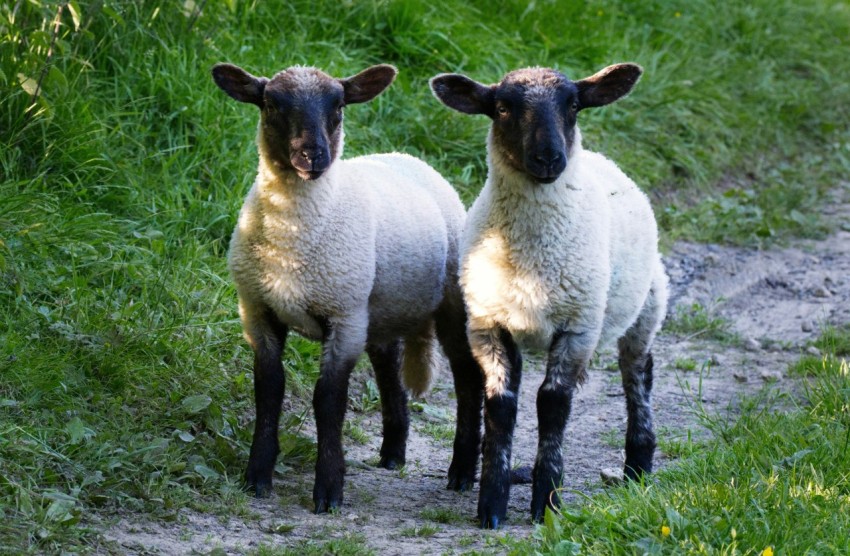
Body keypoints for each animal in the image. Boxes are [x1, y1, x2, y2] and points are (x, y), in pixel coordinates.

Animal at [212, 63, 484, 516]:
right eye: (271, 104)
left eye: (338, 105)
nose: (313, 156)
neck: (294, 241)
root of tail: (407, 158)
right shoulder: (257, 310)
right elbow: (269, 389)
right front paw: (257, 476)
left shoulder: (344, 317)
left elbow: (328, 400)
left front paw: (328, 491)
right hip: (380, 310)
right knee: (390, 370)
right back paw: (393, 453)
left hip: (448, 304)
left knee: (468, 379)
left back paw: (462, 472)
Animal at [430, 63, 668, 528]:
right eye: (503, 108)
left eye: (573, 105)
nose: (548, 158)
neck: (532, 256)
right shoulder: (489, 323)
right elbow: (501, 405)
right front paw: (492, 504)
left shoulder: (577, 327)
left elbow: (553, 404)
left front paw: (547, 503)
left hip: (647, 305)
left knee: (637, 374)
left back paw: (638, 466)